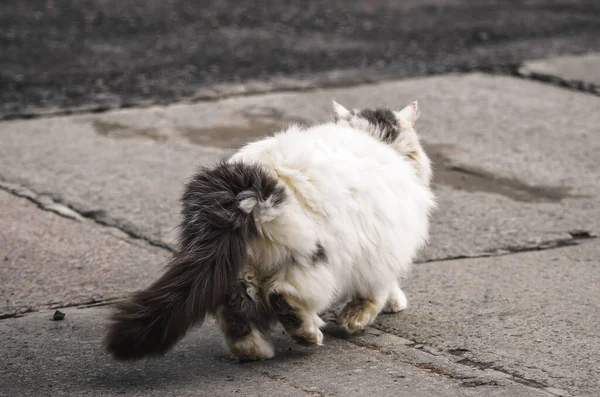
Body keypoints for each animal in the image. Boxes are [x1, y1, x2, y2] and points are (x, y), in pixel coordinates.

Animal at [105, 98, 434, 358]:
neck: (373, 140)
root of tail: (245, 184)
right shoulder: (382, 245)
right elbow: (375, 291)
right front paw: (363, 316)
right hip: (312, 255)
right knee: (283, 294)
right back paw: (305, 333)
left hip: (239, 267)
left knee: (235, 309)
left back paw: (254, 350)